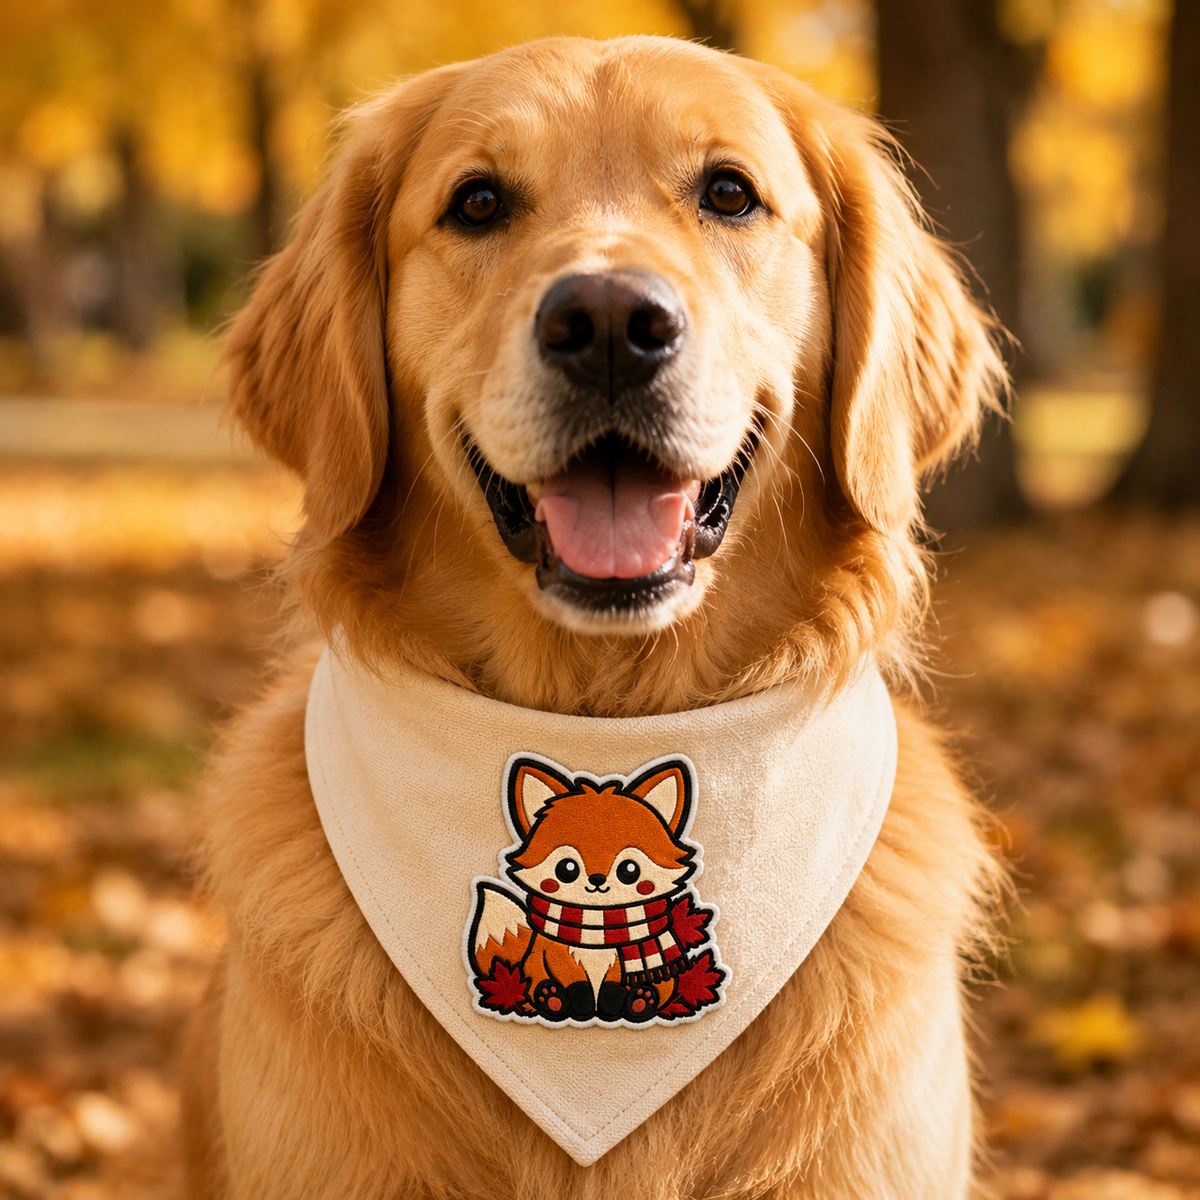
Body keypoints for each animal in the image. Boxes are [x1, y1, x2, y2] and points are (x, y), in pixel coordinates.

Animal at [466, 755, 726, 1026]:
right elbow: (576, 983)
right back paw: (551, 998)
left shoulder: (620, 964)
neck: (597, 926)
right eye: (567, 868)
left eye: (629, 869)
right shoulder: (557, 954)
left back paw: (641, 999)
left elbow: (614, 986)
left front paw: (617, 1002)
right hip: (533, 966)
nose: (597, 880)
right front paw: (577, 1003)